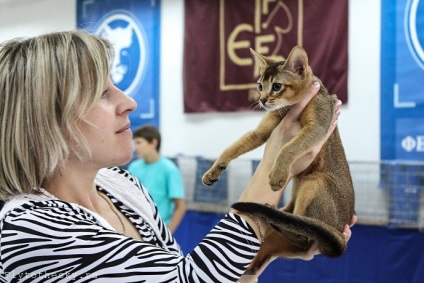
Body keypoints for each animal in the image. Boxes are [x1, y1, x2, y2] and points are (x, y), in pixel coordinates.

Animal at [202, 46, 354, 276]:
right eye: (259, 86)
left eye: (276, 86)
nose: (262, 100)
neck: (288, 108)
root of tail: (339, 236)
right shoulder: (262, 131)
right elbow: (234, 146)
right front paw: (213, 170)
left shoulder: (318, 127)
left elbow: (287, 147)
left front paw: (276, 174)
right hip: (299, 186)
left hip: (316, 182)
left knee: (302, 235)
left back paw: (272, 219)